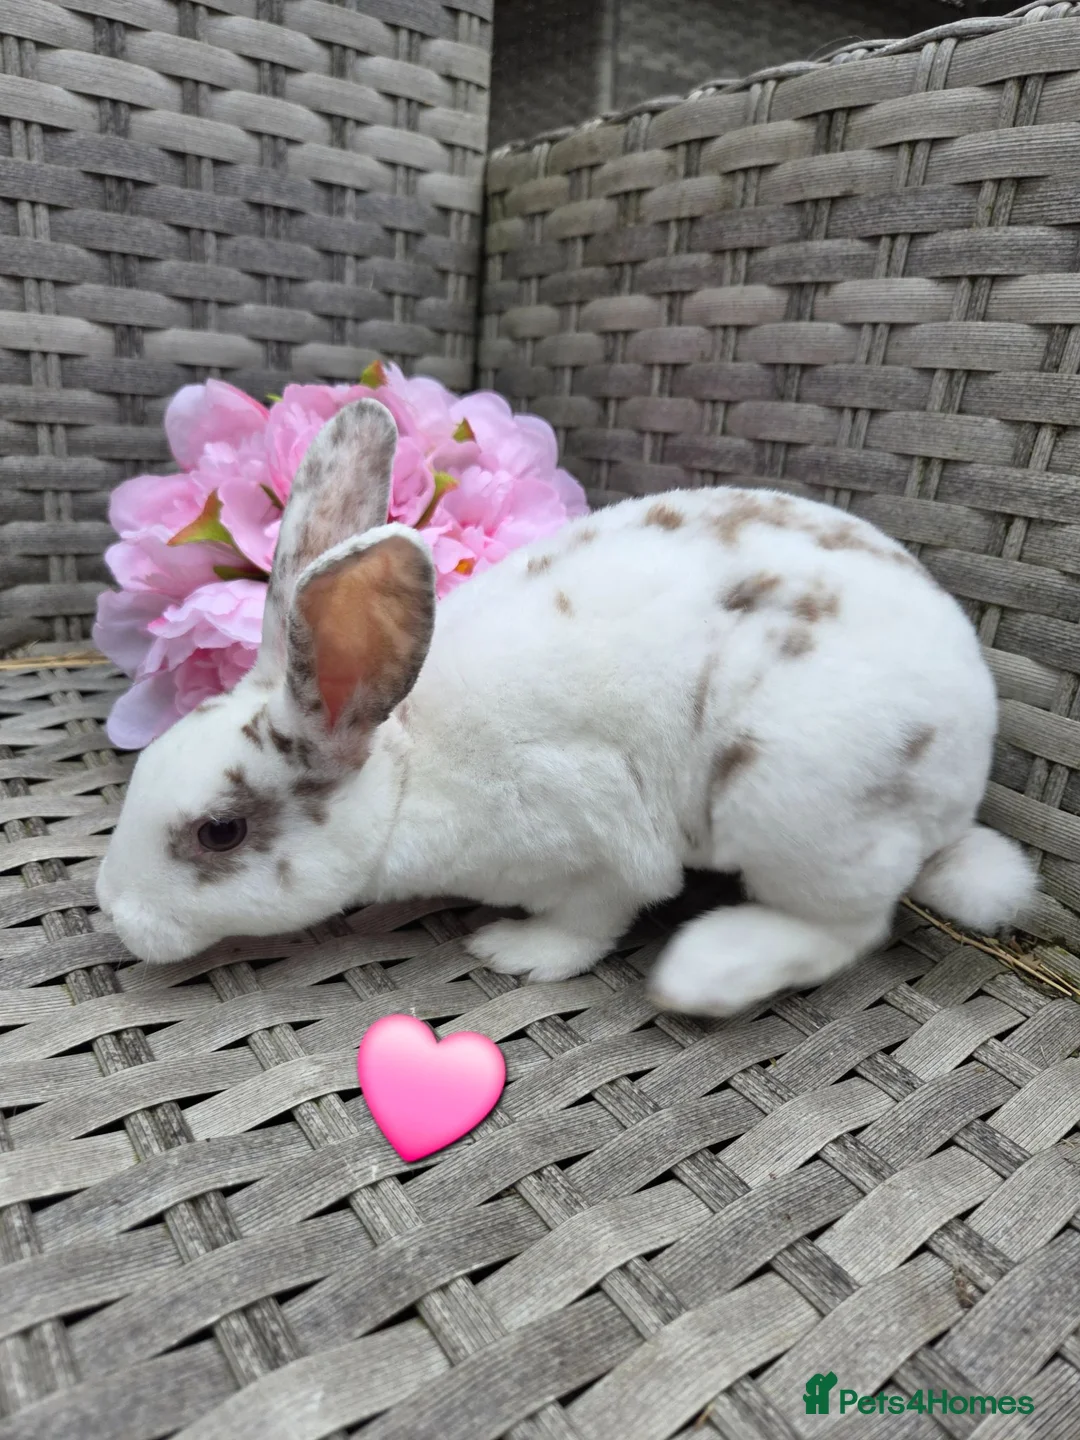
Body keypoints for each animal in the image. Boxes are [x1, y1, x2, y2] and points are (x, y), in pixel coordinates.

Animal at [96, 397, 1036, 1015]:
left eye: (220, 832)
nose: (118, 916)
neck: (403, 774)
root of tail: (965, 772)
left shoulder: (597, 838)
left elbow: (590, 921)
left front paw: (515, 952)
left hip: (794, 807)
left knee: (850, 927)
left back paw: (708, 969)